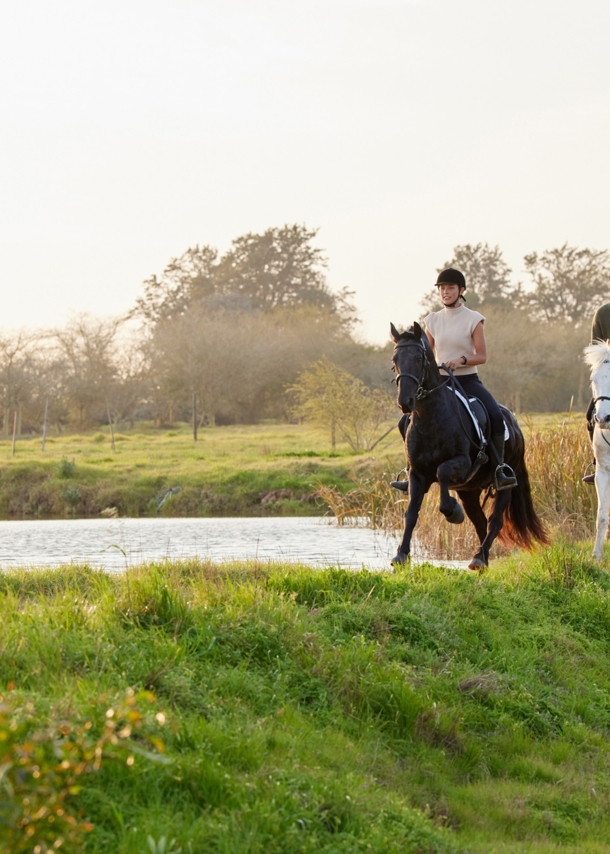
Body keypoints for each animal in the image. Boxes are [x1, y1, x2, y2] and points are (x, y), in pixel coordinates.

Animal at [390, 320, 548, 568]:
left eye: (418, 359)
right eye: (394, 361)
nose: (405, 402)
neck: (431, 418)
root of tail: (514, 424)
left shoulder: (462, 463)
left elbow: (443, 471)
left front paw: (452, 512)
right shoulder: (417, 473)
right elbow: (411, 513)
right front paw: (401, 555)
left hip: (504, 484)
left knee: (494, 521)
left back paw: (479, 558)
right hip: (469, 491)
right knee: (480, 522)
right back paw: (482, 559)